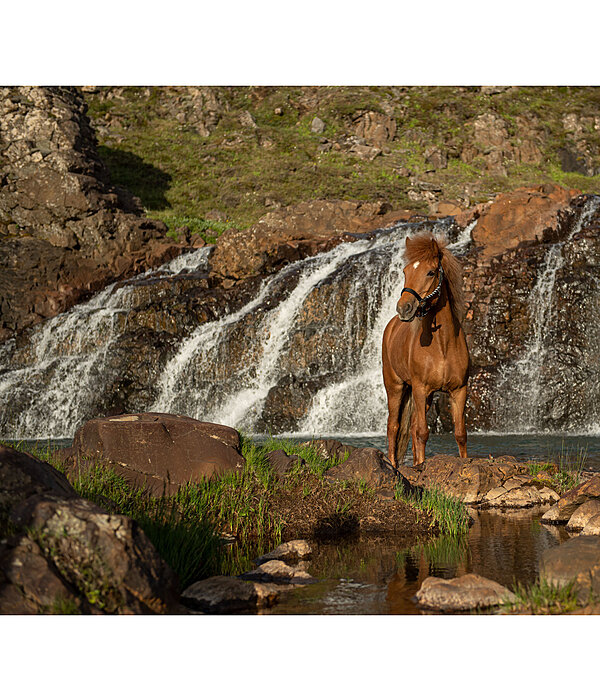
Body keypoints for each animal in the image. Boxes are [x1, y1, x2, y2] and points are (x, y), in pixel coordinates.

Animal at [384, 232, 468, 468]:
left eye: (431, 272)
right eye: (405, 271)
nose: (404, 307)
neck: (443, 345)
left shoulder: (459, 391)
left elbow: (460, 434)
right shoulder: (420, 389)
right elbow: (422, 432)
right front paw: (421, 468)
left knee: (410, 428)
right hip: (395, 387)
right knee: (393, 427)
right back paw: (393, 466)